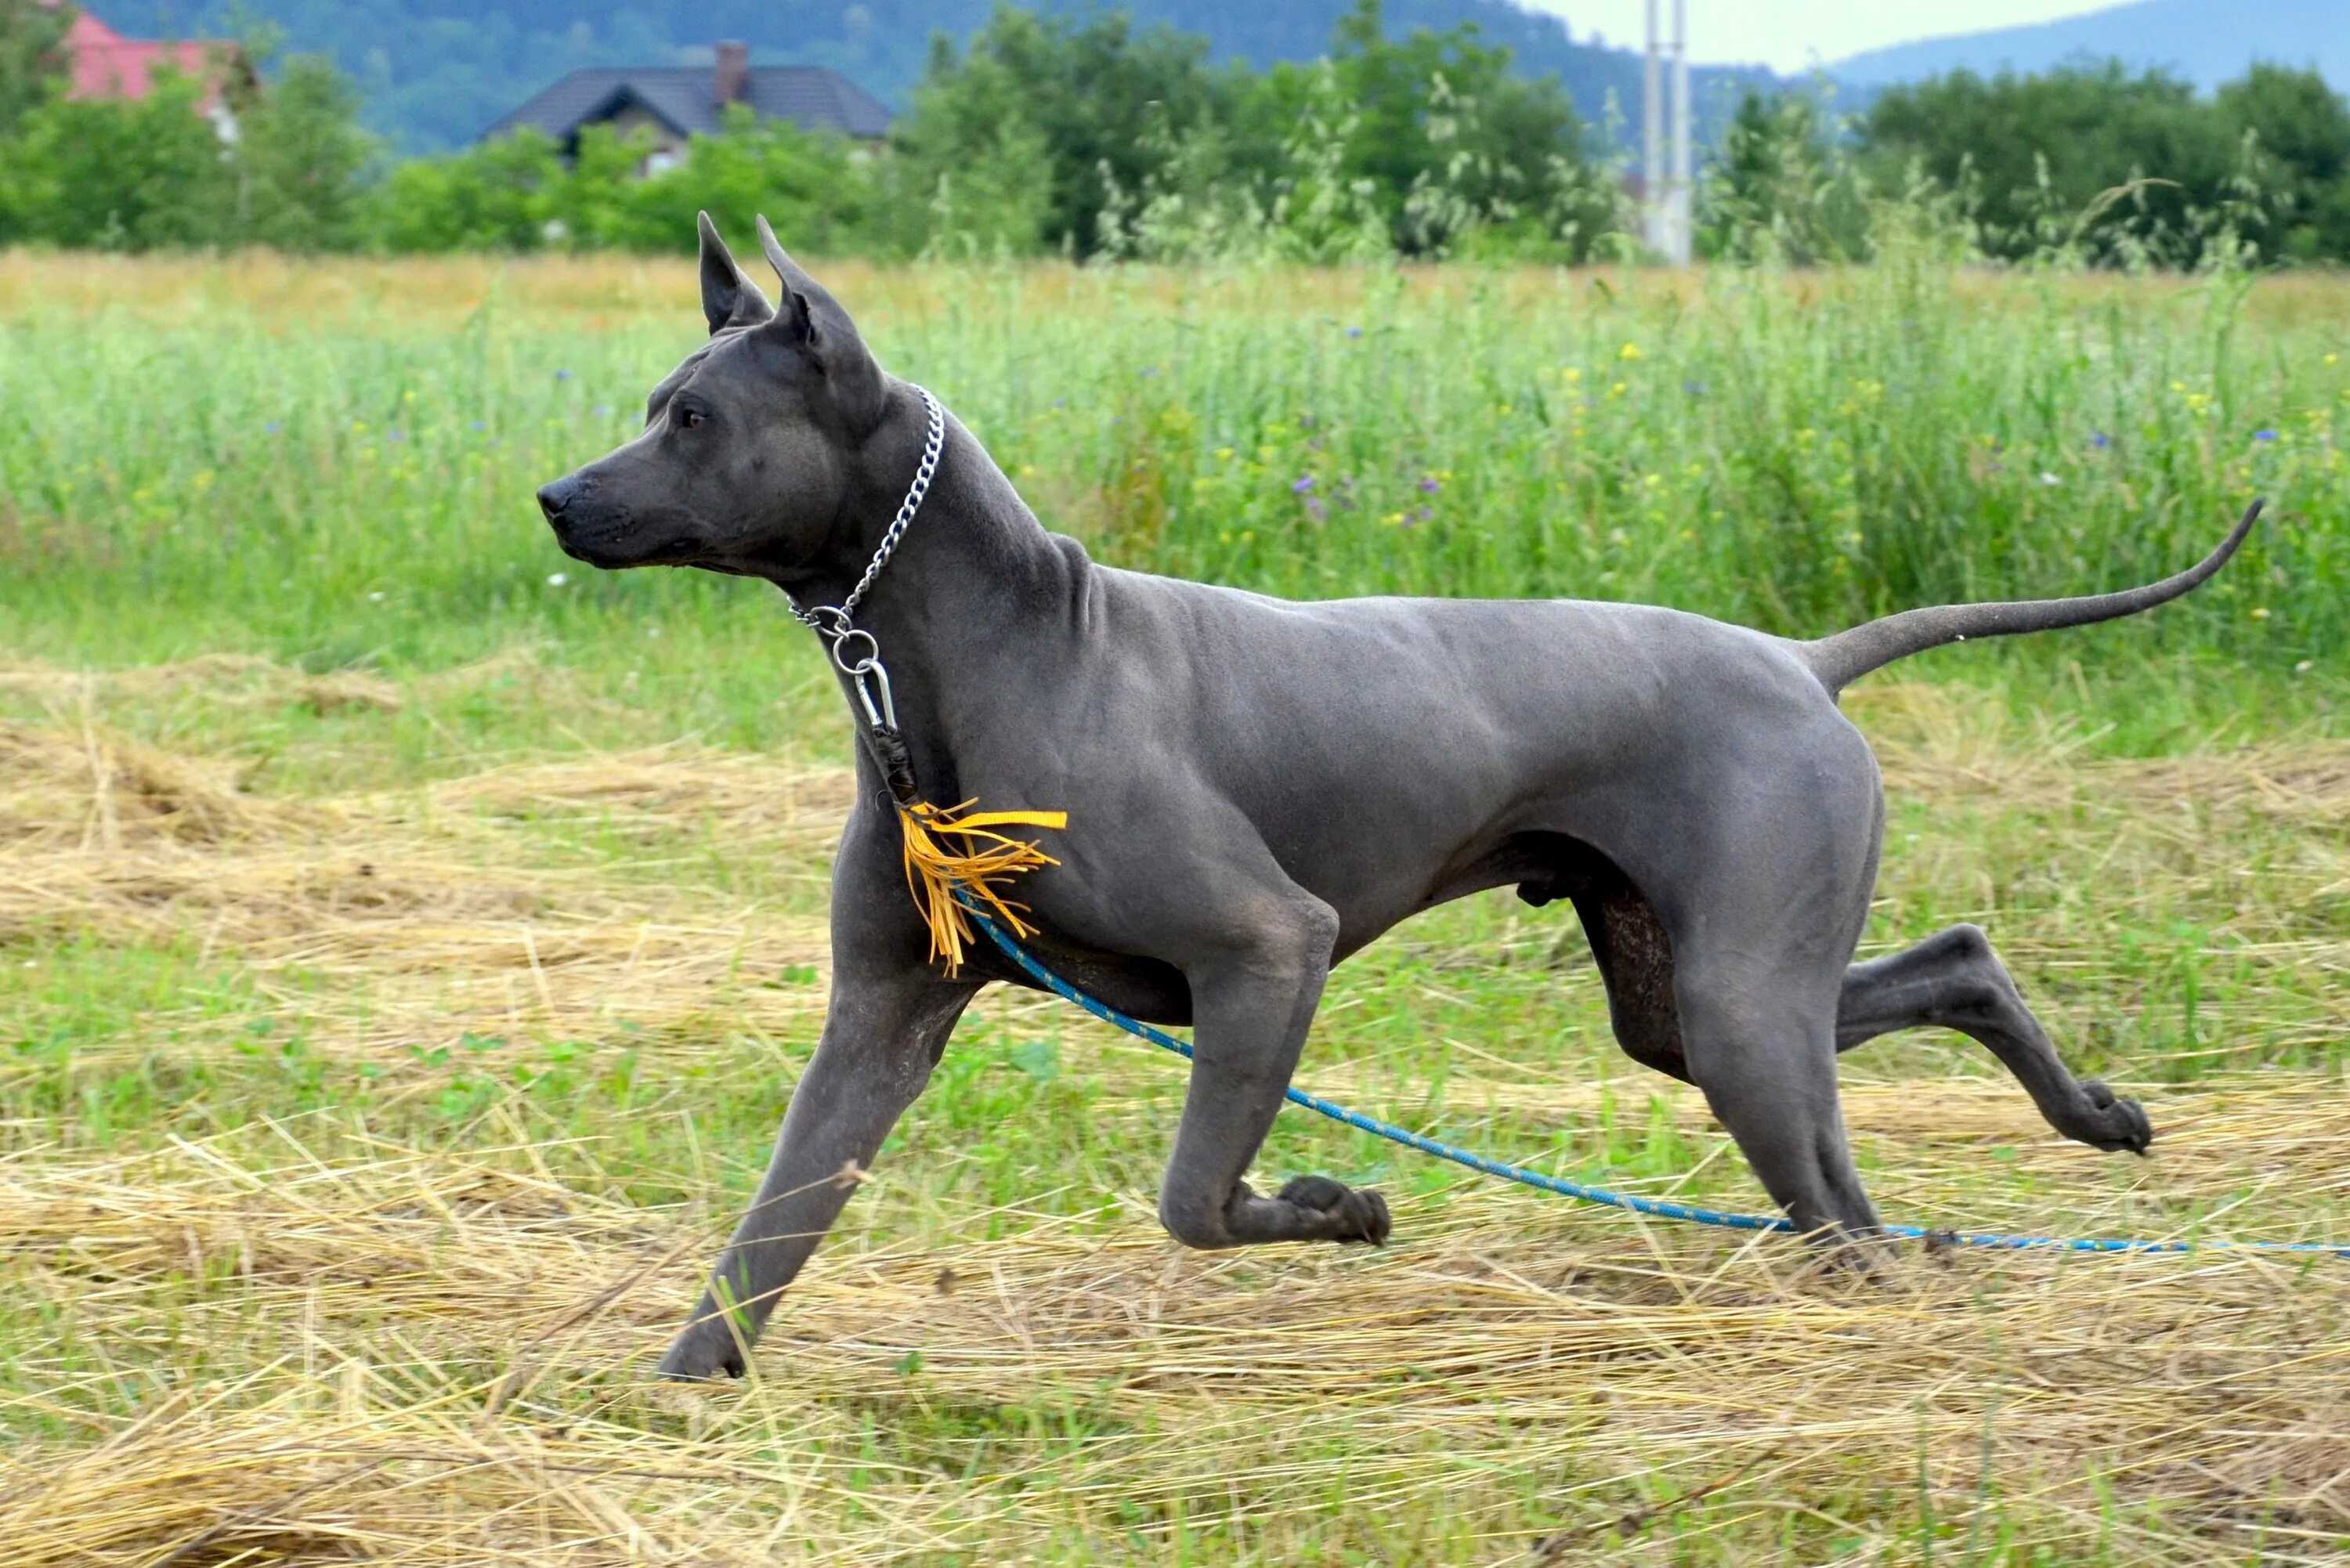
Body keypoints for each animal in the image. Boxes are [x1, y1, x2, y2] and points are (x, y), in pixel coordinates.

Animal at [538, 215, 2256, 1382]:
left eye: (693, 419)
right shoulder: (883, 1013)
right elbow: (770, 1226)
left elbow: (1195, 1196)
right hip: (1692, 993)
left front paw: (1340, 1205)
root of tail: (1802, 657)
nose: (556, 493)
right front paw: (677, 1388)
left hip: (1742, 1002)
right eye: (650, 400)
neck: (994, 652)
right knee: (1949, 965)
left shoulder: (1267, 949)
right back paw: (2092, 1116)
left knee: (1846, 1201)